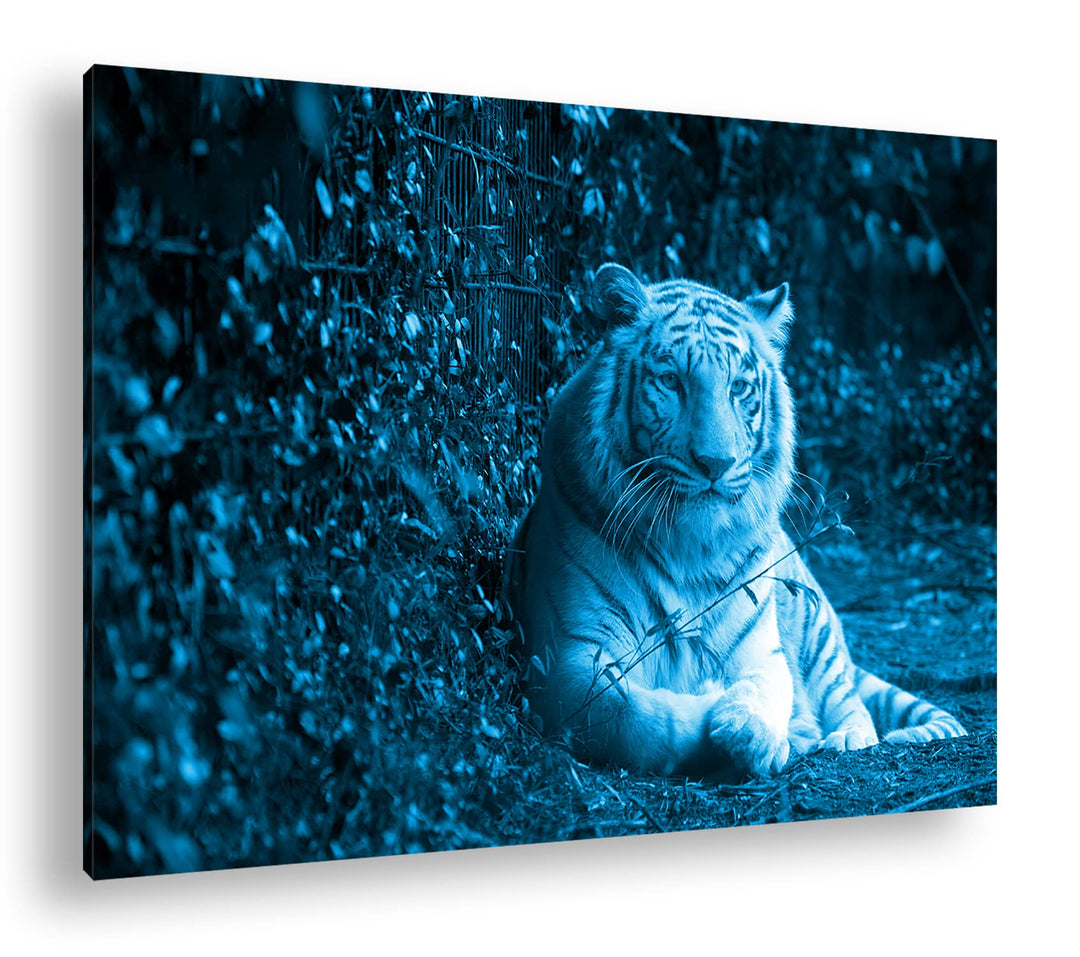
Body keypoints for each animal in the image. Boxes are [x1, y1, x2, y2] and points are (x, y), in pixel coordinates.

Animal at [504, 263, 966, 782]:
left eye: (739, 387)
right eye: (671, 381)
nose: (716, 463)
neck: (688, 549)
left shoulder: (762, 652)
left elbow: (764, 688)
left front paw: (757, 730)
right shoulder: (569, 659)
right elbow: (636, 716)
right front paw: (734, 714)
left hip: (815, 627)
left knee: (852, 700)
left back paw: (846, 737)